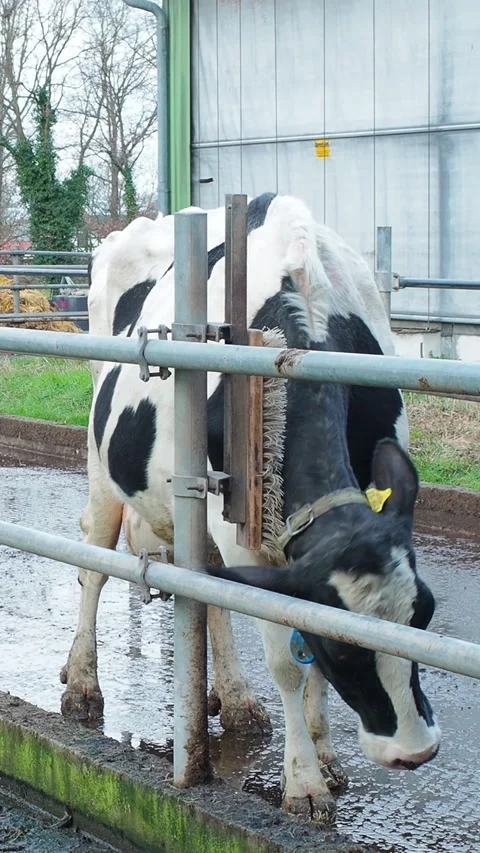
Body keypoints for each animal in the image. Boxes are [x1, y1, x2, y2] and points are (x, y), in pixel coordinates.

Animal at [61, 193, 440, 823]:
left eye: (425, 615)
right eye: (344, 649)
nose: (415, 751)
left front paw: (325, 756)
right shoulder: (242, 527)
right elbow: (287, 659)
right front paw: (303, 783)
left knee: (207, 591)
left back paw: (235, 699)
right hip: (102, 462)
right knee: (95, 561)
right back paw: (82, 684)